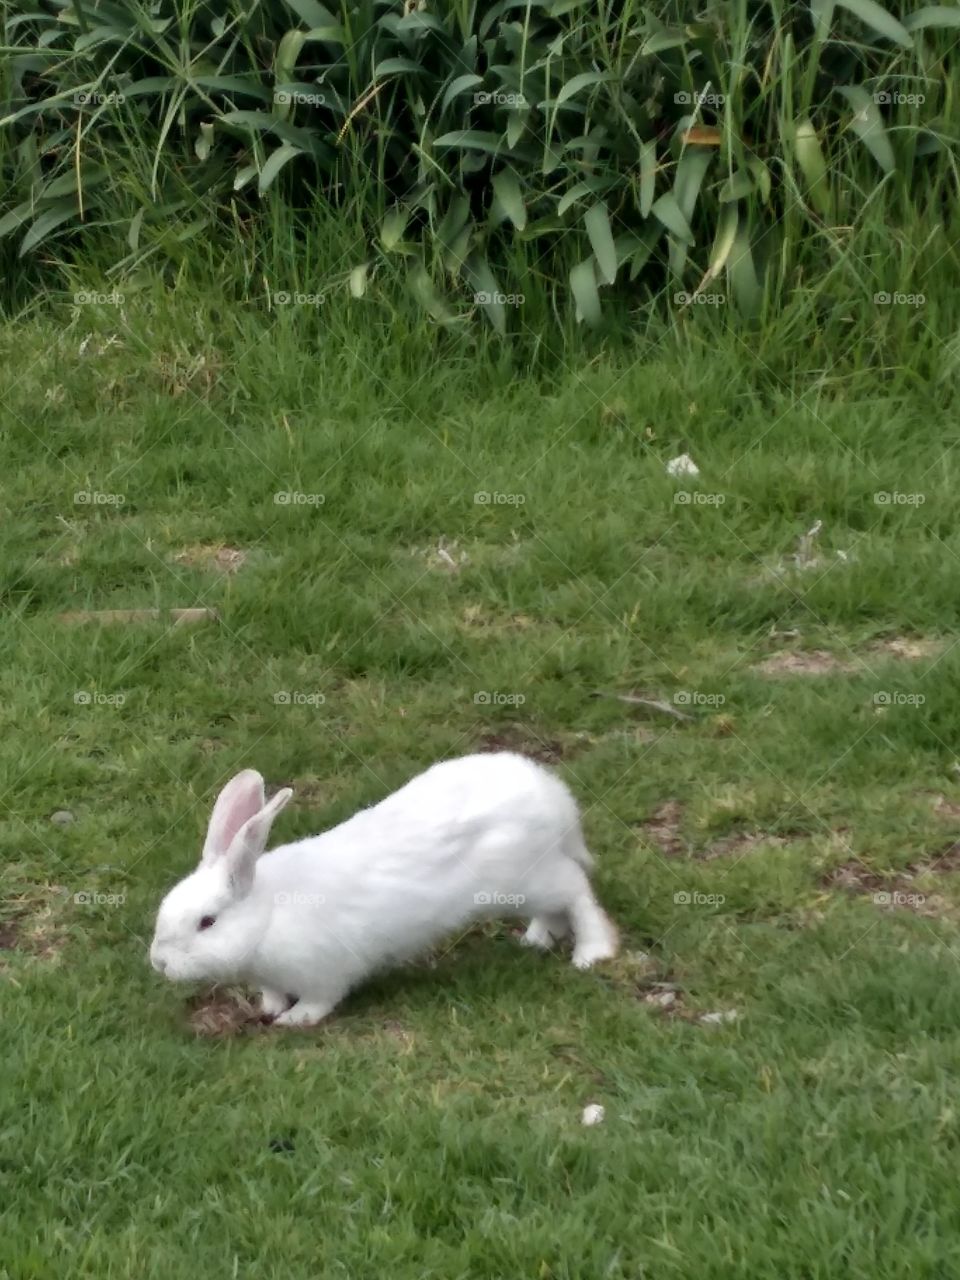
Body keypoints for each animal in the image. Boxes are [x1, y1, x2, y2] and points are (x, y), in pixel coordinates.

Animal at [149, 752, 619, 1027]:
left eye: (207, 922)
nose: (159, 963)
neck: (265, 917)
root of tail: (553, 798)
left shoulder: (323, 973)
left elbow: (320, 1002)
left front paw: (292, 1021)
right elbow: (273, 993)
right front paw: (269, 1008)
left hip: (527, 879)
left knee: (577, 892)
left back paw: (591, 953)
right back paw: (536, 940)